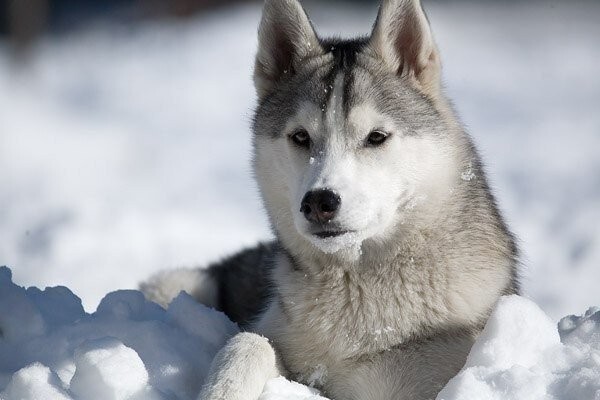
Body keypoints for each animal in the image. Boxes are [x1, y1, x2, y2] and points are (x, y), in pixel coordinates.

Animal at [142, 0, 520, 398]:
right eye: (300, 137)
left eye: (376, 137)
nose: (319, 202)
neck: (359, 290)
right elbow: (249, 342)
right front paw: (221, 389)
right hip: (173, 283)